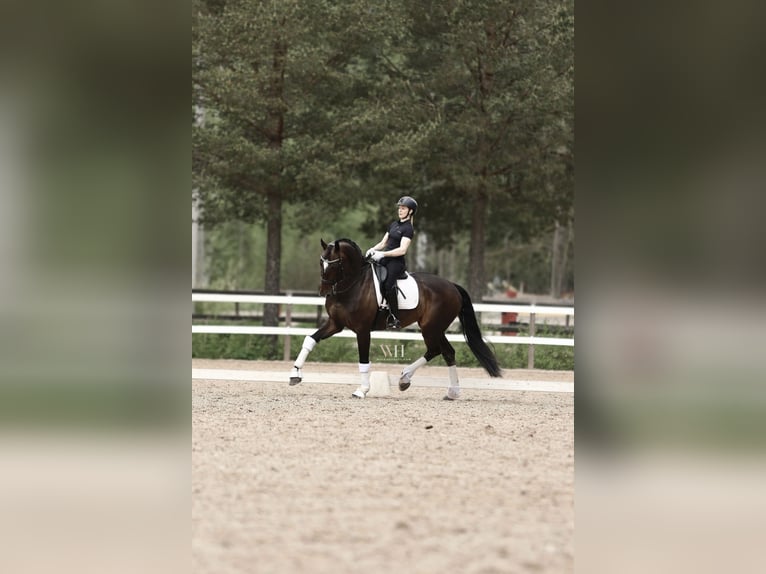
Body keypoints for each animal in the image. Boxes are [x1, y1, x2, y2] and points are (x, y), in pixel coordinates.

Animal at [288, 238, 502, 399]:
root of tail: (452, 286)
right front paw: (294, 374)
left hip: (431, 327)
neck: (353, 285)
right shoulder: (335, 324)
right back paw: (434, 387)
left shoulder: (362, 329)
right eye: (321, 262)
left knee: (440, 350)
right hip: (433, 328)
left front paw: (362, 390)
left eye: (336, 263)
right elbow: (310, 340)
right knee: (443, 351)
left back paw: (420, 382)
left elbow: (363, 359)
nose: (323, 291)